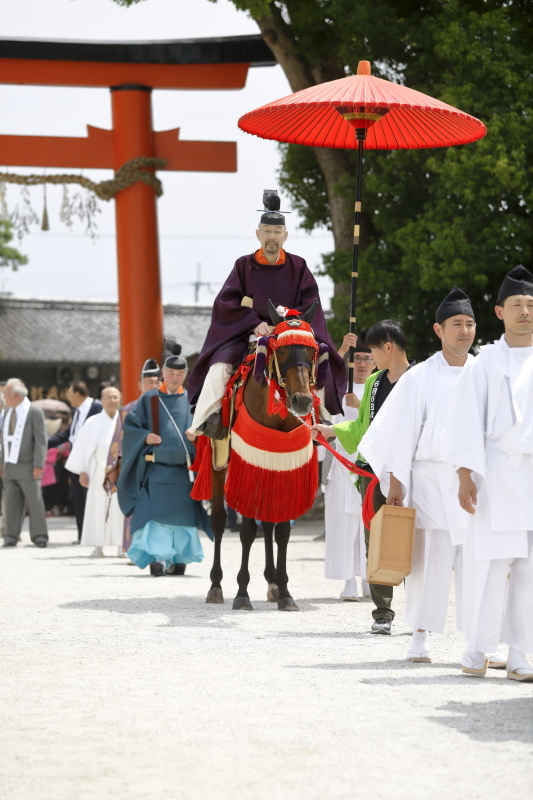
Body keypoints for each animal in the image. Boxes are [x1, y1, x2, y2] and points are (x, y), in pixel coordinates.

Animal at [195, 300, 328, 612]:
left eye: (312, 351)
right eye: (281, 350)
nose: (302, 401)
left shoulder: (285, 464)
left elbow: (281, 530)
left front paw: (285, 591)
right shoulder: (248, 462)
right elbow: (246, 530)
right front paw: (242, 592)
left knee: (267, 524)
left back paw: (272, 584)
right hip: (220, 462)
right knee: (219, 521)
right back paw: (216, 586)